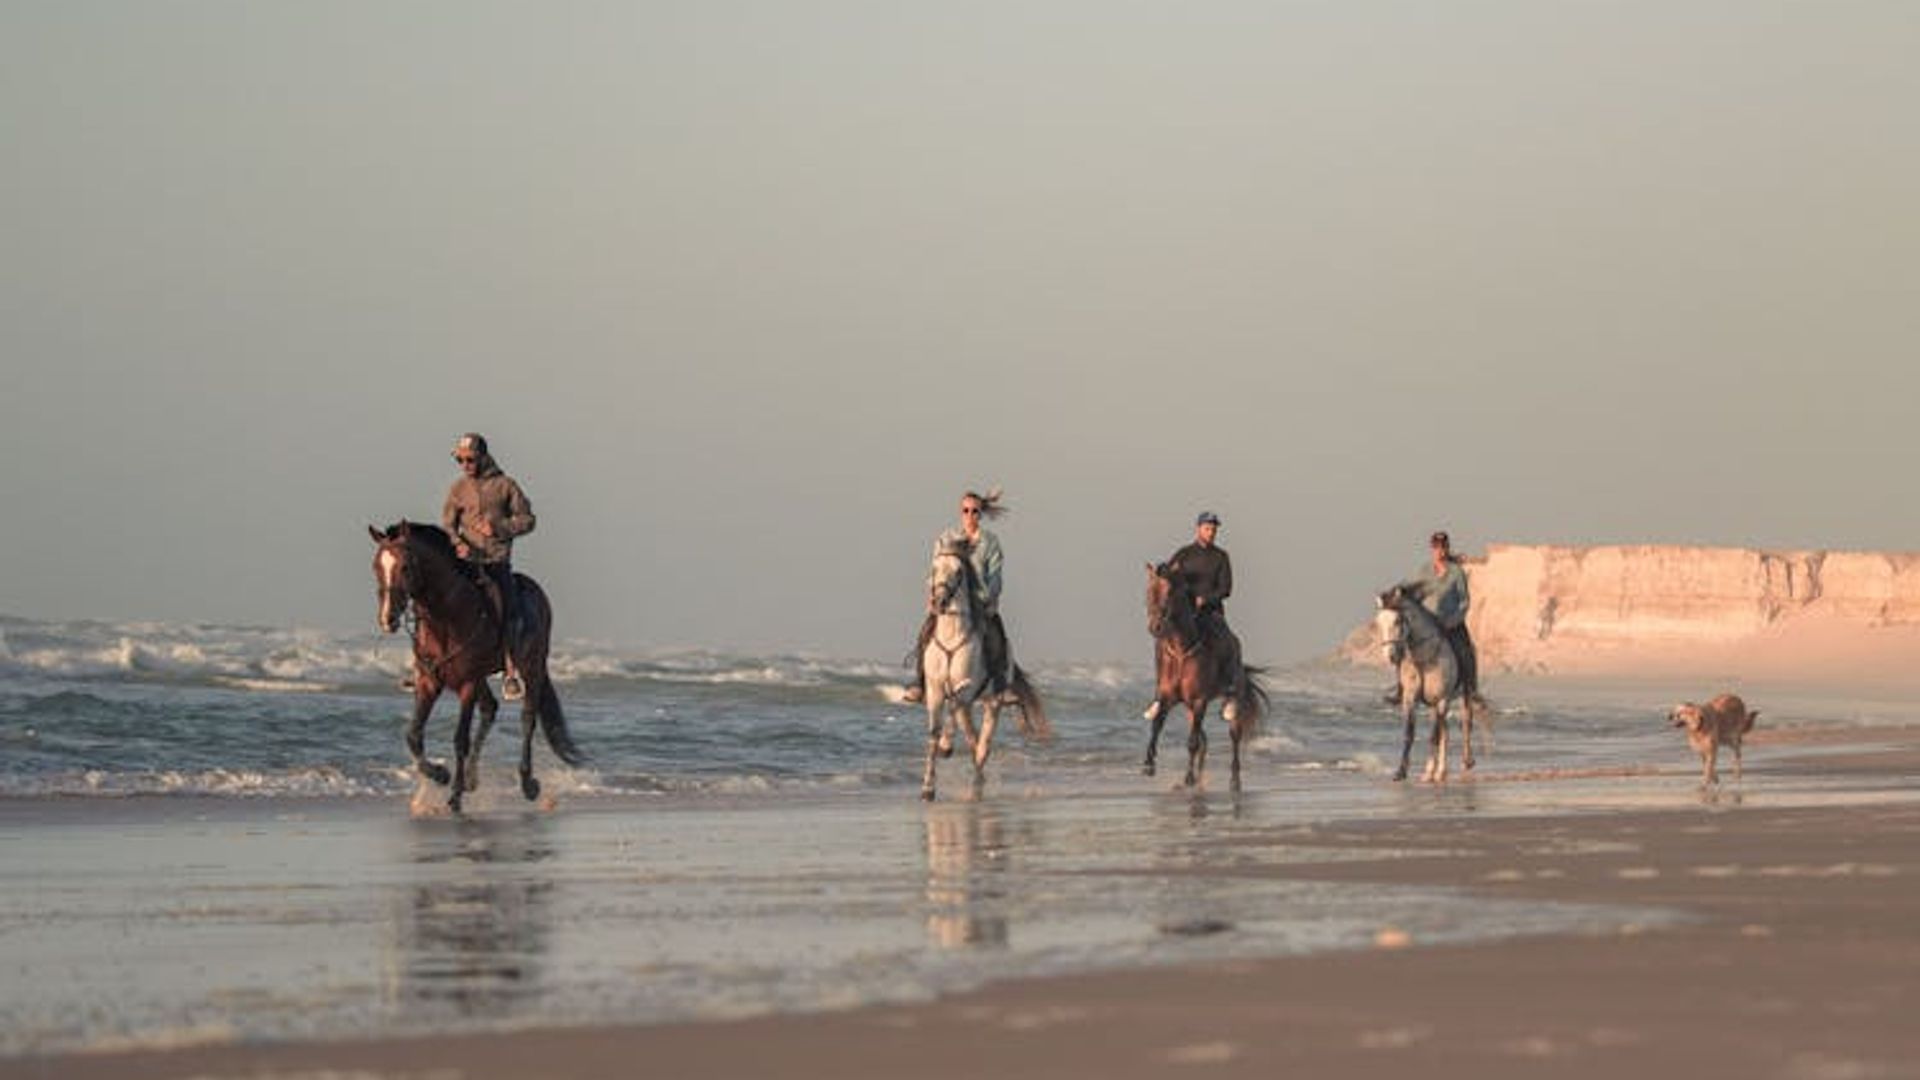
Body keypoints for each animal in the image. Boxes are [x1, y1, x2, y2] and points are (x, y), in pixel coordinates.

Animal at [369, 521, 583, 813]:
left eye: (405, 567)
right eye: (376, 567)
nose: (387, 618)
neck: (446, 618)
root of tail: (536, 591)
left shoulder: (467, 683)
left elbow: (460, 739)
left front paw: (454, 795)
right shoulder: (429, 682)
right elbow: (413, 734)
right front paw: (440, 774)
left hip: (532, 667)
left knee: (528, 719)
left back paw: (528, 784)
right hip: (483, 676)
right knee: (490, 709)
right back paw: (472, 778)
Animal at [919, 537, 1051, 801]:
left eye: (959, 571)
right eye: (934, 568)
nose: (939, 602)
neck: (952, 635)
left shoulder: (968, 687)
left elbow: (954, 705)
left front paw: (946, 747)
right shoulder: (936, 689)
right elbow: (933, 733)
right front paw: (928, 787)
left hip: (993, 702)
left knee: (983, 741)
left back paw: (977, 777)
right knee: (972, 738)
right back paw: (977, 778)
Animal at [1143, 562, 1269, 791]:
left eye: (1170, 592)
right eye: (1149, 592)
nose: (1155, 627)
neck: (1181, 651)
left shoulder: (1199, 700)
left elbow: (1192, 742)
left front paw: (1188, 778)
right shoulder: (1167, 698)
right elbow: (1156, 725)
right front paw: (1148, 765)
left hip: (1229, 699)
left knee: (1233, 736)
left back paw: (1234, 781)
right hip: (1189, 709)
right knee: (1204, 740)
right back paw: (1200, 778)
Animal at [1375, 584, 1484, 782]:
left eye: (1397, 621)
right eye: (1379, 623)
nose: (1391, 656)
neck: (1423, 660)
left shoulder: (1442, 699)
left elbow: (1434, 736)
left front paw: (1430, 771)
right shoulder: (1411, 700)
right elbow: (1410, 734)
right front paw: (1402, 772)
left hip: (1463, 695)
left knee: (1465, 724)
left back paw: (1465, 762)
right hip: (1435, 705)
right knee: (1445, 732)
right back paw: (1440, 771)